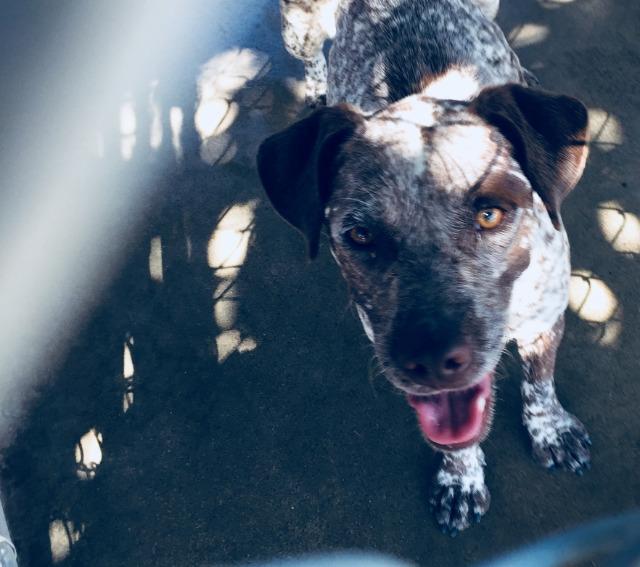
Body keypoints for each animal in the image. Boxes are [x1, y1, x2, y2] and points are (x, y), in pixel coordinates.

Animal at [256, 0, 592, 536]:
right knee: (310, 57)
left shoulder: (545, 319)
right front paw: (461, 479)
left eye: (490, 213)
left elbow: (540, 383)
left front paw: (551, 430)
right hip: (299, 28)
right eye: (359, 235)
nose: (431, 360)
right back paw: (318, 89)